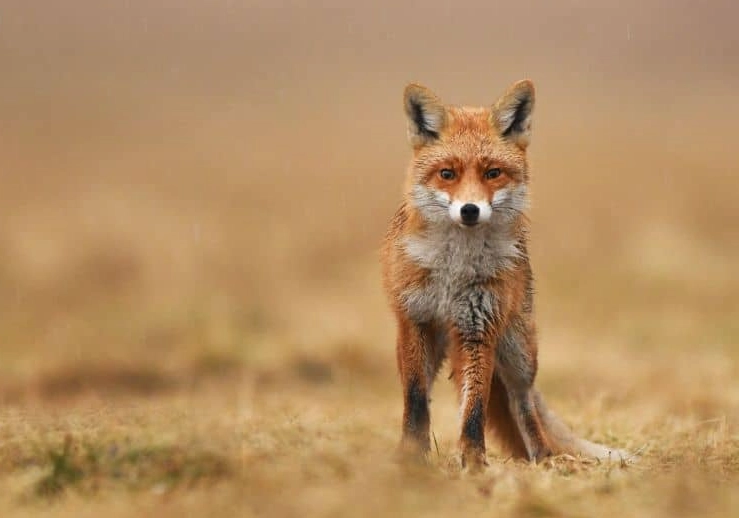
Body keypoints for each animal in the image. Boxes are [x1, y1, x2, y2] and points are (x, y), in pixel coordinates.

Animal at [381, 79, 627, 470]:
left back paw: (542, 459)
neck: (454, 268)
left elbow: (475, 410)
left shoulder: (480, 329)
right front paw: (410, 457)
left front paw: (474, 463)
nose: (469, 210)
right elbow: (416, 401)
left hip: (518, 353)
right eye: (447, 174)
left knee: (522, 403)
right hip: (433, 348)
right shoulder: (414, 322)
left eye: (492, 173)